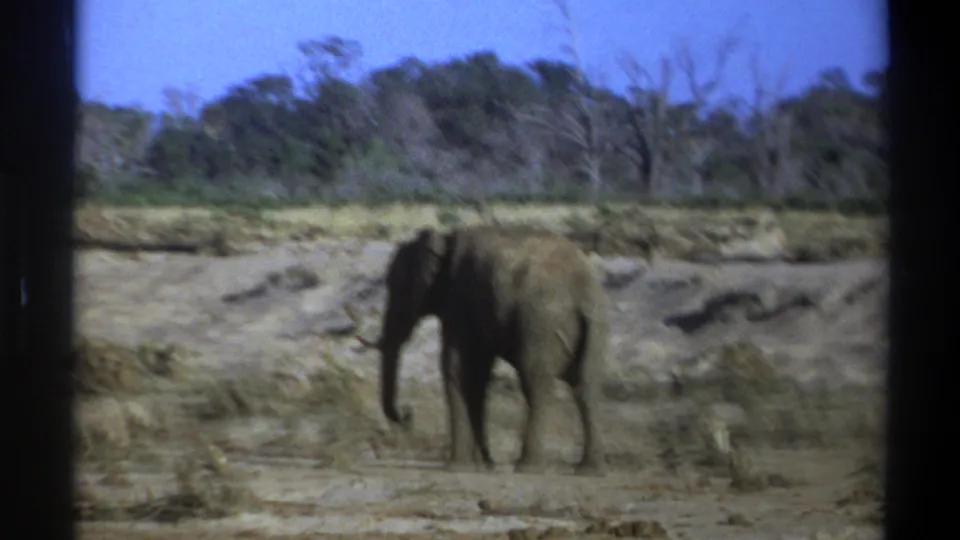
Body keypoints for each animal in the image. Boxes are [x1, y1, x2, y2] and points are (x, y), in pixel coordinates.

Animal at [355, 226, 611, 476]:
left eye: (394, 285)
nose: (408, 414)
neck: (444, 238)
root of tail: (583, 292)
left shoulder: (459, 298)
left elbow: (456, 367)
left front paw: (457, 468)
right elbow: (477, 373)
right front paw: (484, 465)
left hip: (541, 324)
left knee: (536, 384)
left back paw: (529, 468)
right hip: (595, 326)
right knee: (586, 387)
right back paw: (589, 471)